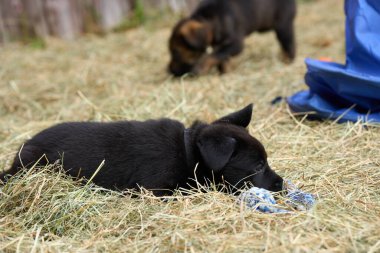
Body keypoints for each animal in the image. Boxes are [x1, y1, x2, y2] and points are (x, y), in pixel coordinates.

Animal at [168, 0, 296, 76]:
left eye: (176, 52)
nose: (169, 70)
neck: (208, 20)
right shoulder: (220, 44)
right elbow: (221, 58)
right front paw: (224, 73)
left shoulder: (235, 44)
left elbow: (212, 56)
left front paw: (200, 68)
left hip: (283, 26)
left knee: (289, 44)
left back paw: (288, 61)